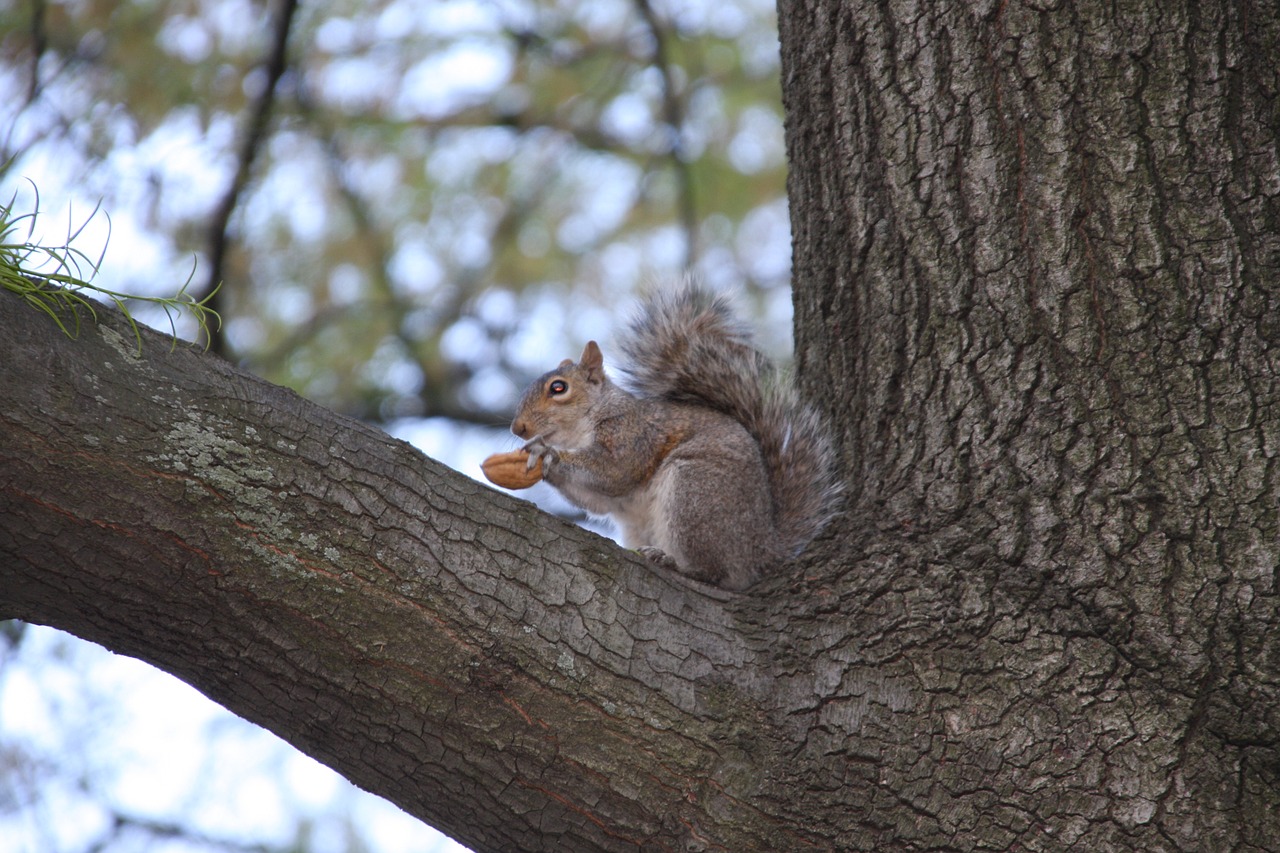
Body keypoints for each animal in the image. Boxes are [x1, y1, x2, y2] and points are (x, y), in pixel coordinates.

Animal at [504, 281, 844, 589]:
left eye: (558, 388)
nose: (518, 428)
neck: (581, 430)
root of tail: (761, 549)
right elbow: (597, 500)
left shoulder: (634, 434)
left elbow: (614, 471)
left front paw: (548, 453)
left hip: (695, 494)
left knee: (715, 573)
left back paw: (675, 563)